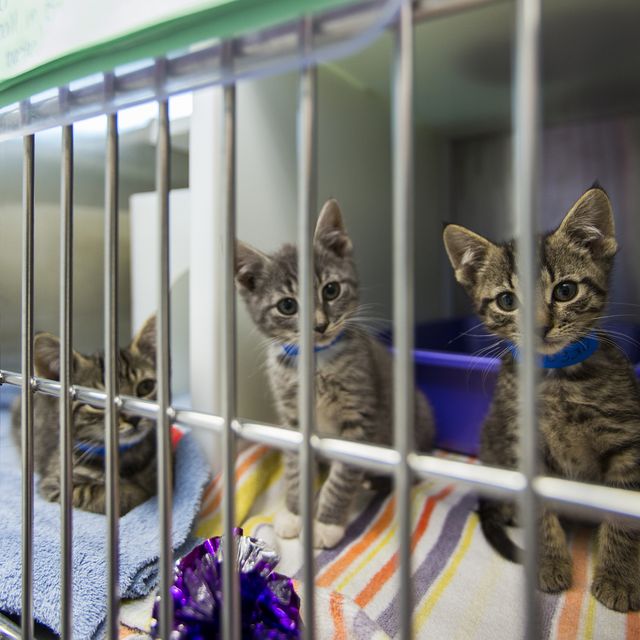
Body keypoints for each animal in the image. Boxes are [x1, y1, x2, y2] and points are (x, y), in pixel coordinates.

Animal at [10, 316, 161, 516]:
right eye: (97, 401)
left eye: (146, 387)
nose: (133, 417)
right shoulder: (54, 484)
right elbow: (99, 493)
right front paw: (135, 492)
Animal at [235, 201, 436, 552]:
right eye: (287, 306)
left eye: (331, 290)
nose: (319, 325)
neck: (316, 362)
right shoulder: (292, 419)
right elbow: (295, 468)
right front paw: (294, 512)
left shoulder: (360, 416)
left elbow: (342, 477)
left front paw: (327, 524)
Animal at [442, 186, 640, 616]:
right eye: (506, 301)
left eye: (565, 291)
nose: (539, 327)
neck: (557, 381)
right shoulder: (522, 446)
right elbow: (539, 512)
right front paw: (548, 562)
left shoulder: (628, 441)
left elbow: (624, 511)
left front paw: (618, 576)